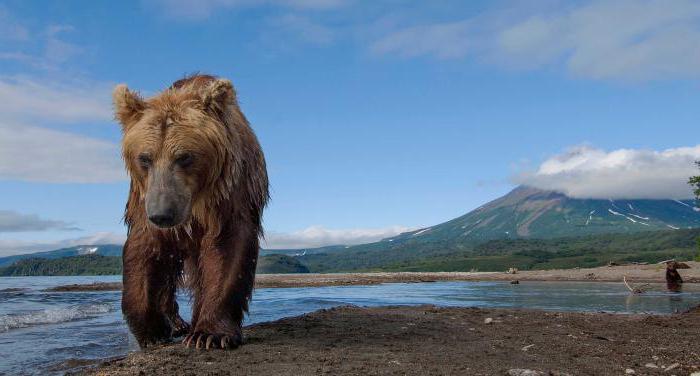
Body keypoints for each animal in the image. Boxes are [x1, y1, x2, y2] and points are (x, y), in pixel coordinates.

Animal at [113, 73, 270, 350]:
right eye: (145, 158)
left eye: (185, 157)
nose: (162, 214)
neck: (195, 204)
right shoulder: (143, 201)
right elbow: (144, 249)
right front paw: (152, 330)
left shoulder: (229, 194)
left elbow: (226, 247)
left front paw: (210, 334)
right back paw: (176, 323)